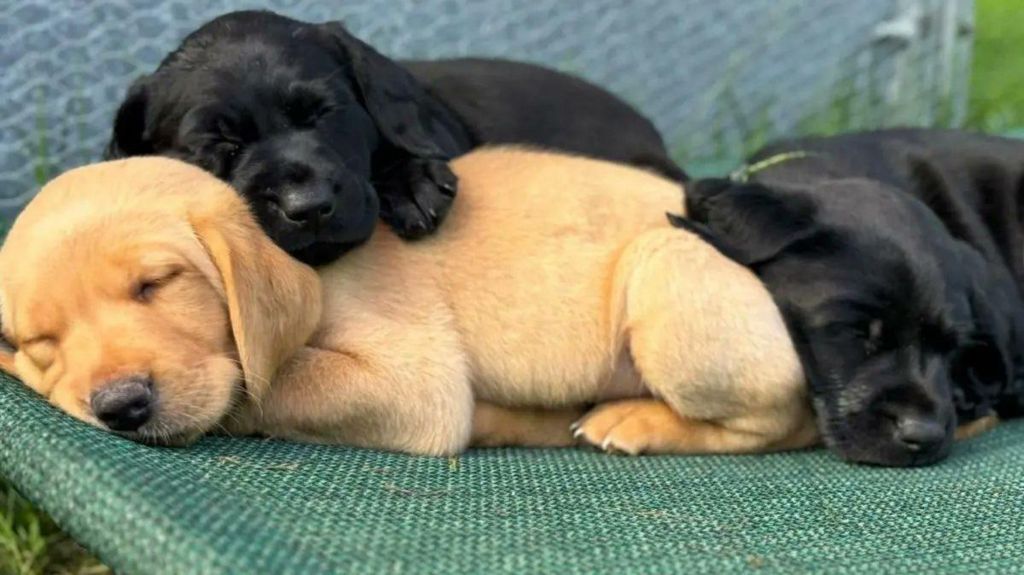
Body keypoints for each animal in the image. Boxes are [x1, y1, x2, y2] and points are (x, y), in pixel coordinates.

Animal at [0, 147, 815, 456]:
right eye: (41, 343)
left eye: (155, 284)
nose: (122, 406)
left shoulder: (413, 380)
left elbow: (274, 384)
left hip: (664, 273)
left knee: (779, 423)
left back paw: (637, 420)